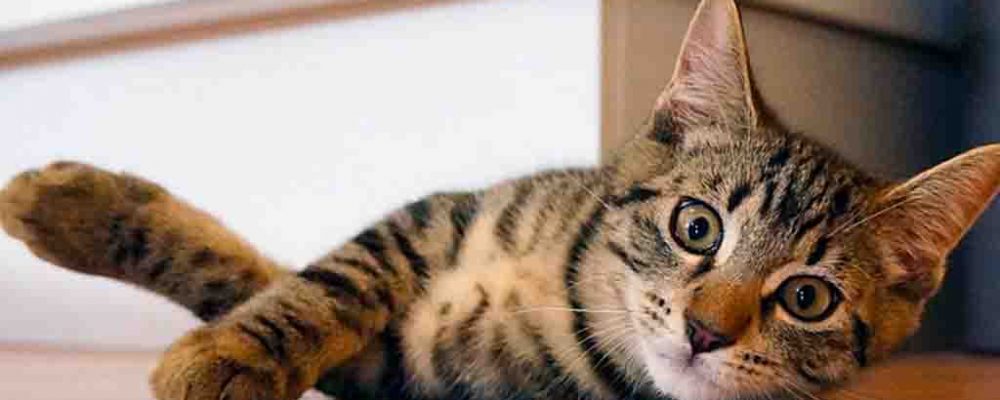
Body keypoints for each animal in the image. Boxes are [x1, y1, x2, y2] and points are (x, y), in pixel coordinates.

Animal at [1, 1, 998, 399]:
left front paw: (227, 356)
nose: (705, 331)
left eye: (807, 298)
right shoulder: (430, 223)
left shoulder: (412, 372)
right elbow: (303, 278)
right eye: (697, 226)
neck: (569, 288)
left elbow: (289, 288)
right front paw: (76, 207)